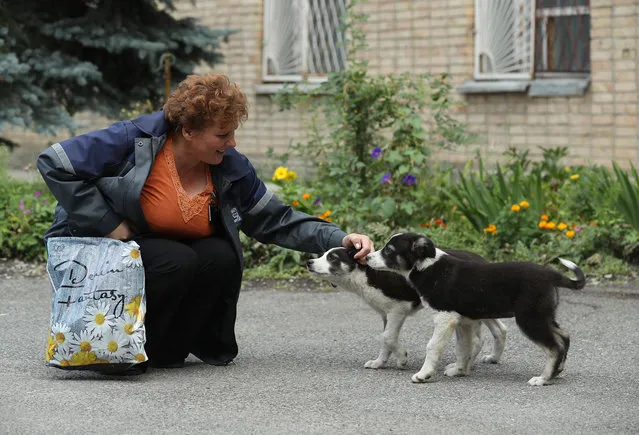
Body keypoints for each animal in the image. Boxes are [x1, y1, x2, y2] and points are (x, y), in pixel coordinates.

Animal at [308, 247, 508, 376]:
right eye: (323, 254)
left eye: (333, 257)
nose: (309, 262)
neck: (367, 274)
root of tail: (482, 260)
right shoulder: (386, 314)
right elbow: (385, 340)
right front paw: (379, 363)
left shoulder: (398, 309)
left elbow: (387, 337)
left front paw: (402, 358)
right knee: (500, 329)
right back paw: (490, 358)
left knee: (479, 339)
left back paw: (466, 365)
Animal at [368, 233, 588, 386]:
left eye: (389, 250)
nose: (367, 256)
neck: (427, 267)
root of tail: (551, 274)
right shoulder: (462, 321)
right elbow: (463, 347)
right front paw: (459, 370)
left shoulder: (444, 318)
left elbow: (433, 346)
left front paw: (424, 374)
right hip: (543, 315)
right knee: (564, 336)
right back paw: (558, 370)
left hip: (530, 318)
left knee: (554, 347)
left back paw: (544, 378)